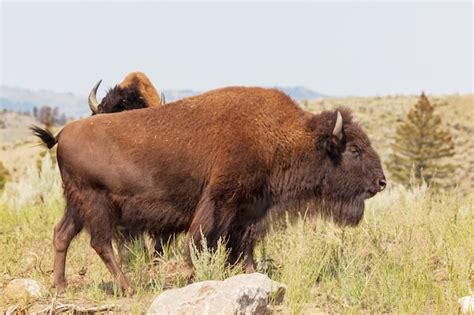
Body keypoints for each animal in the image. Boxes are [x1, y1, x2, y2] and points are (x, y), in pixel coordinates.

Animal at [32, 86, 386, 294]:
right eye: (354, 149)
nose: (381, 182)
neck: (281, 136)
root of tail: (63, 134)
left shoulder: (250, 211)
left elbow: (243, 246)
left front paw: (250, 273)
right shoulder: (221, 202)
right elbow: (203, 240)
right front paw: (197, 274)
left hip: (76, 205)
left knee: (62, 234)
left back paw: (60, 287)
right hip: (95, 203)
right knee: (101, 243)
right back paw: (128, 288)